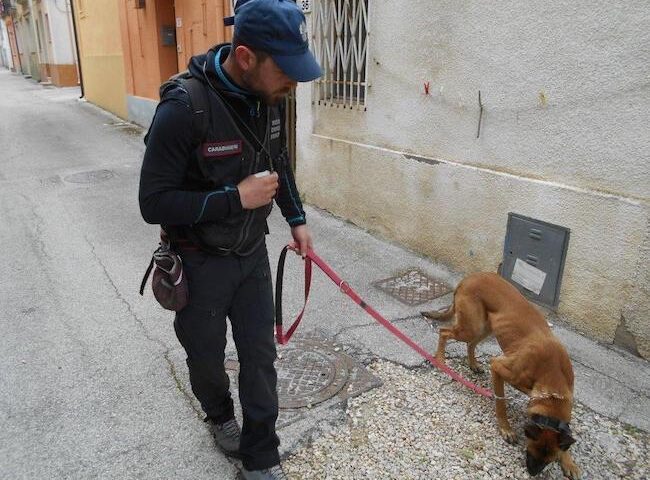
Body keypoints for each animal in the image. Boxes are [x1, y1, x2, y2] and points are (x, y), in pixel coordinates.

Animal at [422, 272, 580, 478]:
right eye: (532, 451)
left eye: (550, 460)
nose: (532, 473)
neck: (552, 378)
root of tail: (470, 277)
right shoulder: (498, 367)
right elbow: (501, 403)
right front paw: (506, 429)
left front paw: (569, 462)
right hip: (472, 327)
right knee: (444, 332)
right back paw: (440, 358)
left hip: (485, 327)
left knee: (470, 343)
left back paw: (473, 364)